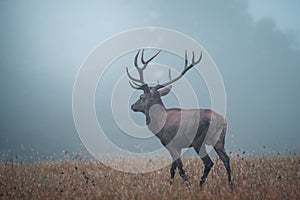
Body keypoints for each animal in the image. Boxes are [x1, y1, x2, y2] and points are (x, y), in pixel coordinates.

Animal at [125, 49, 233, 190]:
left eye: (141, 97)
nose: (132, 106)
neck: (159, 123)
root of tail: (219, 120)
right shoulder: (179, 146)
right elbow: (173, 169)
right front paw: (170, 187)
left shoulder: (170, 143)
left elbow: (180, 168)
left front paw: (188, 186)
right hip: (219, 140)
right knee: (226, 159)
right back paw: (231, 187)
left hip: (198, 140)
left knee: (209, 162)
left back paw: (199, 186)